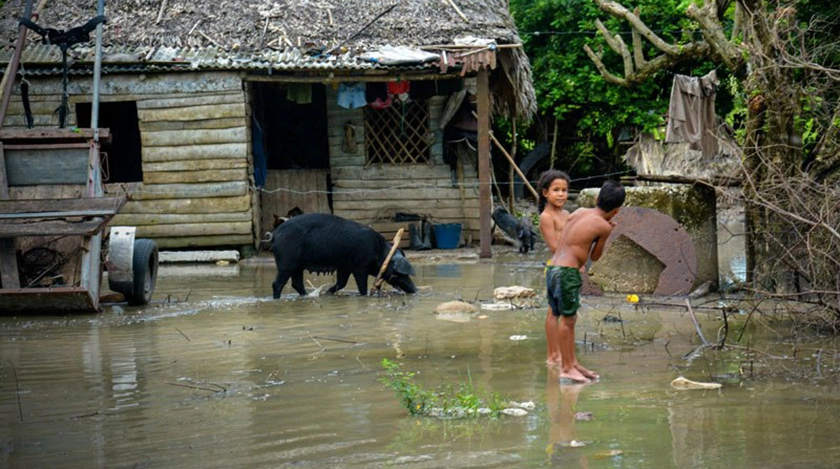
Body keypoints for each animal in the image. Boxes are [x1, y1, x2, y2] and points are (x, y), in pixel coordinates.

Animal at [270, 212, 418, 296]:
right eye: (400, 273)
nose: (415, 289)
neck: (380, 253)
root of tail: (275, 234)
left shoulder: (344, 266)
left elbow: (342, 282)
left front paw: (327, 293)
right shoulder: (359, 266)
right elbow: (361, 285)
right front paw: (365, 296)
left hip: (298, 266)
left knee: (297, 283)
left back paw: (306, 296)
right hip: (286, 262)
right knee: (277, 284)